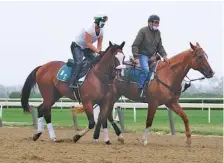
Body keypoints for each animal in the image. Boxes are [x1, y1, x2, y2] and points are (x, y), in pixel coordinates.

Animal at [75, 42, 214, 146]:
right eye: (200, 56)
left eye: (206, 56)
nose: (211, 72)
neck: (168, 75)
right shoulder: (153, 103)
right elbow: (149, 121)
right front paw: (144, 140)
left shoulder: (171, 103)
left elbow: (185, 117)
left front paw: (189, 140)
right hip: (110, 97)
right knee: (103, 116)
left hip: (112, 98)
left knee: (105, 115)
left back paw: (113, 137)